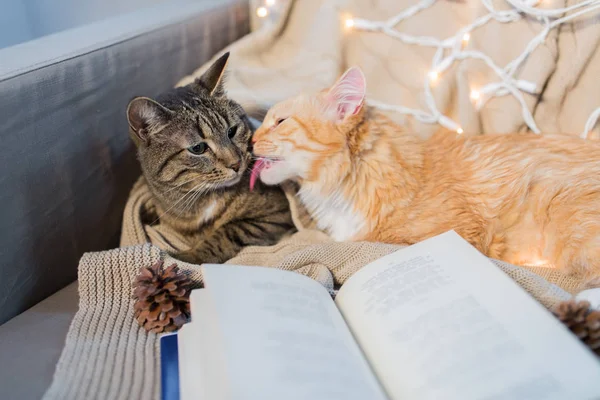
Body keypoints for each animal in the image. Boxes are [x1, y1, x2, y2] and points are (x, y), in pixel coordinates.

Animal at [127, 54, 294, 266]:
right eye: (198, 148)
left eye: (232, 131)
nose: (236, 164)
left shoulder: (275, 214)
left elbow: (226, 233)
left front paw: (186, 257)